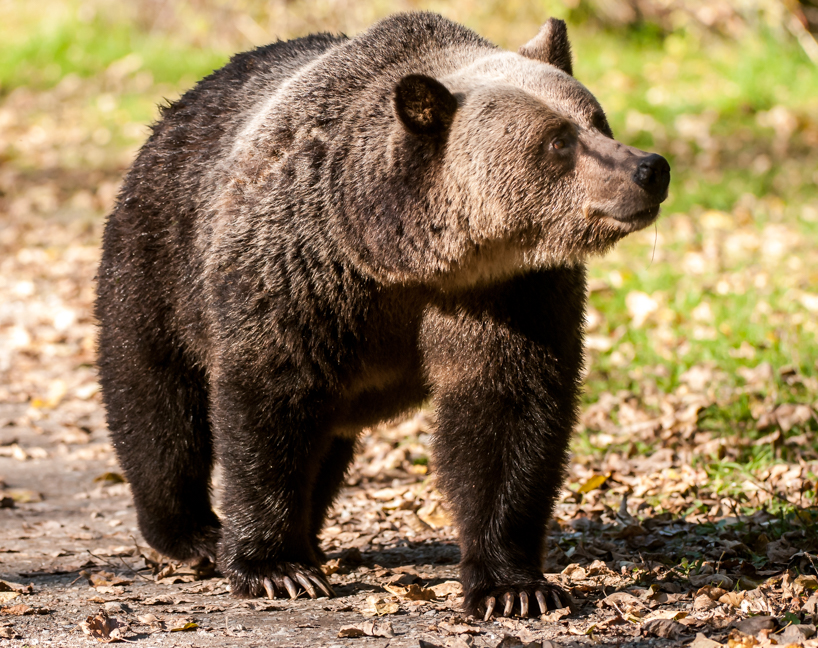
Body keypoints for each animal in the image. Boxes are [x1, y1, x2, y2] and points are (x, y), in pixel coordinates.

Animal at [95, 12, 669, 619]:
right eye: (559, 140)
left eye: (598, 120)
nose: (650, 168)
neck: (404, 257)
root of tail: (176, 112)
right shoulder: (297, 274)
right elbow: (267, 405)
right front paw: (274, 568)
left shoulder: (510, 296)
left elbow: (506, 413)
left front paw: (514, 586)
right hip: (160, 261)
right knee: (158, 403)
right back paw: (193, 534)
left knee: (322, 443)